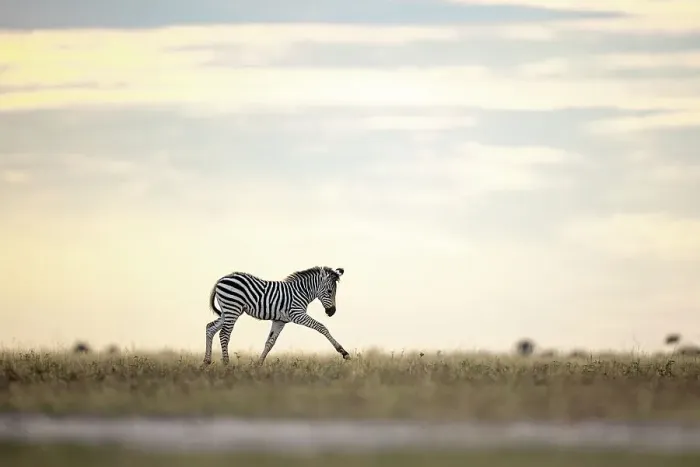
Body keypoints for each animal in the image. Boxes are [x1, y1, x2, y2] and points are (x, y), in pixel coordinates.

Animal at [203, 266, 350, 365]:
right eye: (330, 291)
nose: (332, 312)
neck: (301, 292)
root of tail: (222, 279)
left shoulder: (280, 320)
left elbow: (270, 342)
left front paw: (258, 364)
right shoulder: (297, 314)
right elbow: (321, 327)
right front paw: (343, 352)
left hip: (228, 311)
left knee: (210, 327)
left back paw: (206, 361)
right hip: (232, 308)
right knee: (224, 334)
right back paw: (226, 364)